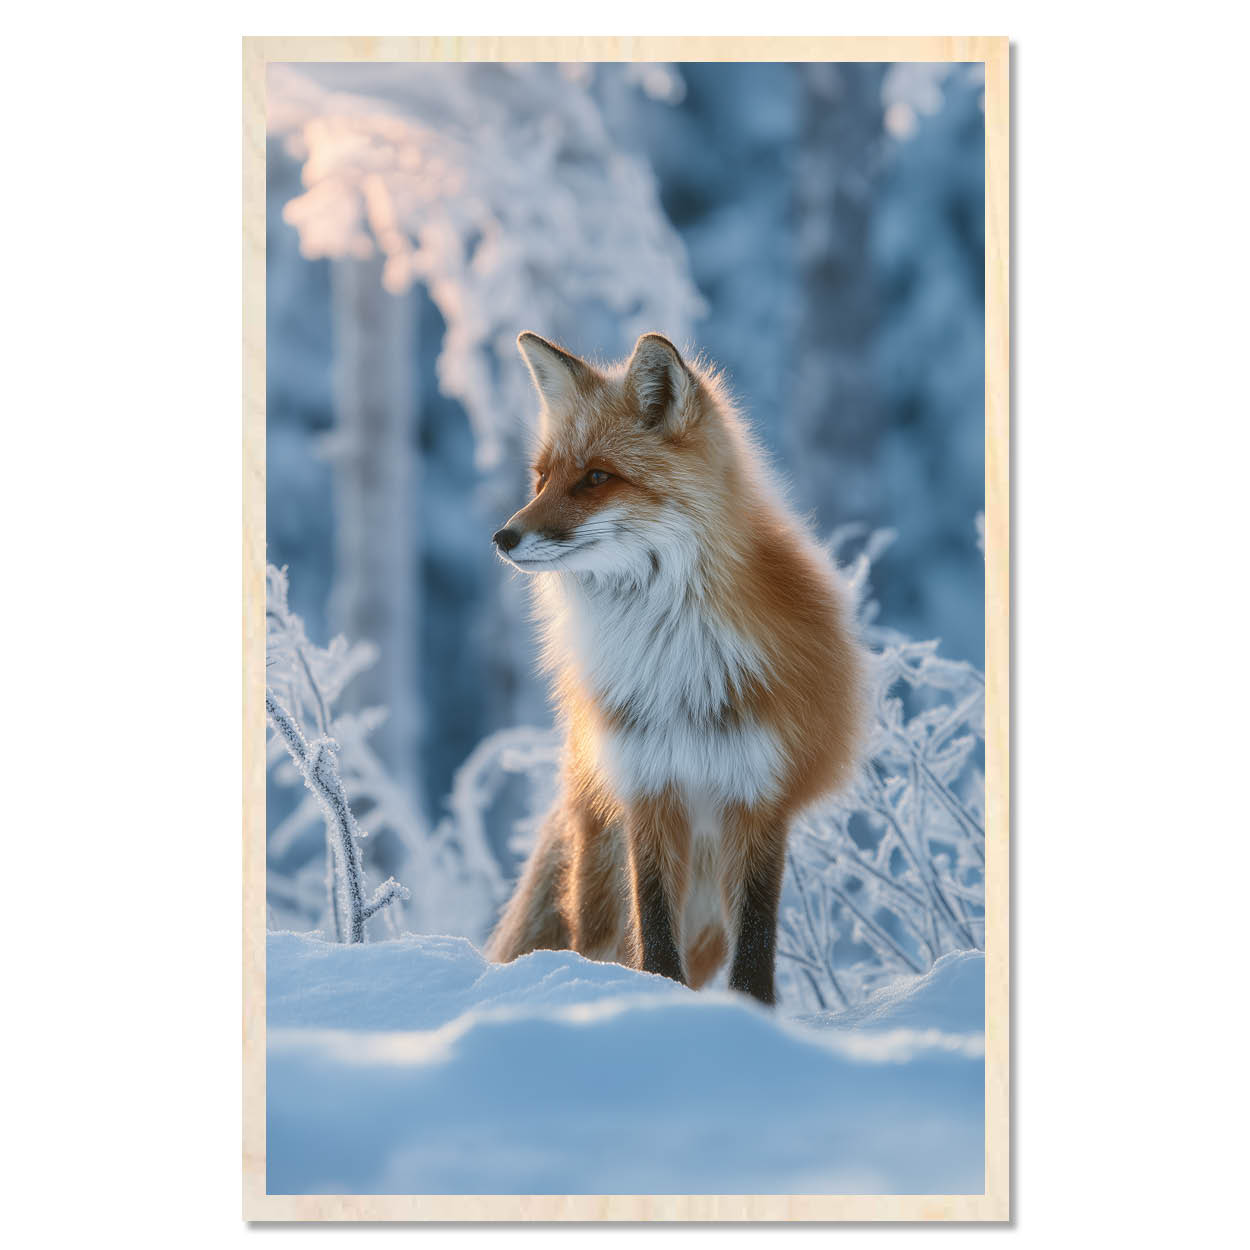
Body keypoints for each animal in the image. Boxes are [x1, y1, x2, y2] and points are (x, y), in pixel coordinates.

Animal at [485, 330, 865, 1005]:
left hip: (709, 901)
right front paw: (657, 1003)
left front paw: (750, 1015)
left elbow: (756, 942)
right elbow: (654, 928)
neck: (672, 655)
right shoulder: (649, 789)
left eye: (596, 477)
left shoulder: (758, 793)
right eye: (542, 477)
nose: (503, 537)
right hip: (608, 868)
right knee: (599, 941)